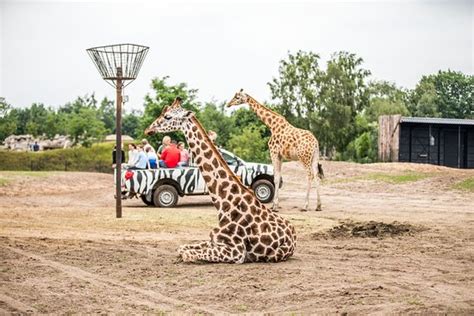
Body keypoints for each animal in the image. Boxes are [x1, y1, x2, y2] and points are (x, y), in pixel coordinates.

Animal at [143, 97, 296, 262]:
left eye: (168, 116)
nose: (148, 129)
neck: (223, 203)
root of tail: (293, 235)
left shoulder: (236, 251)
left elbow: (186, 254)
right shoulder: (214, 241)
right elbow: (182, 248)